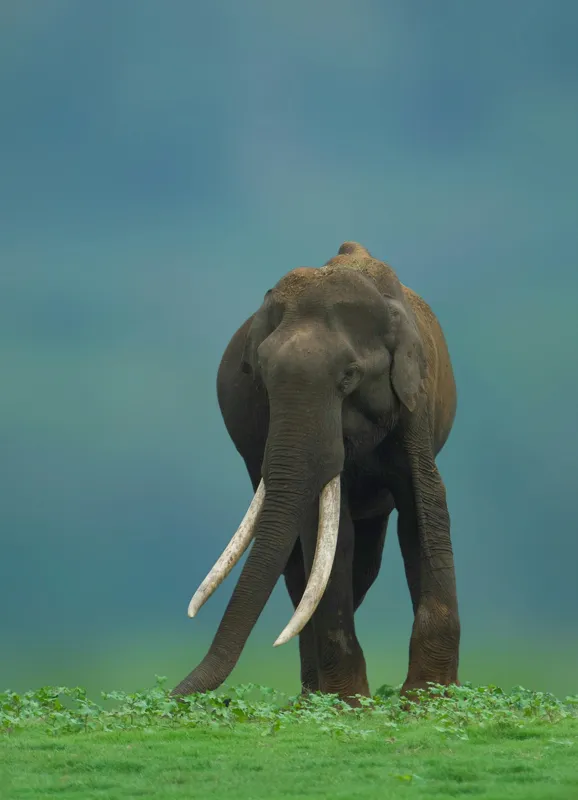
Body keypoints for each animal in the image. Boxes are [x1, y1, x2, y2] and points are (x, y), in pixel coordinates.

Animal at [172, 241, 460, 704]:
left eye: (349, 376)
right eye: (260, 376)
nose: (171, 697)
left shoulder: (415, 401)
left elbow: (425, 507)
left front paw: (426, 698)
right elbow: (326, 535)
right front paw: (347, 704)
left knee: (366, 561)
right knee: (303, 568)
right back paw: (313, 695)